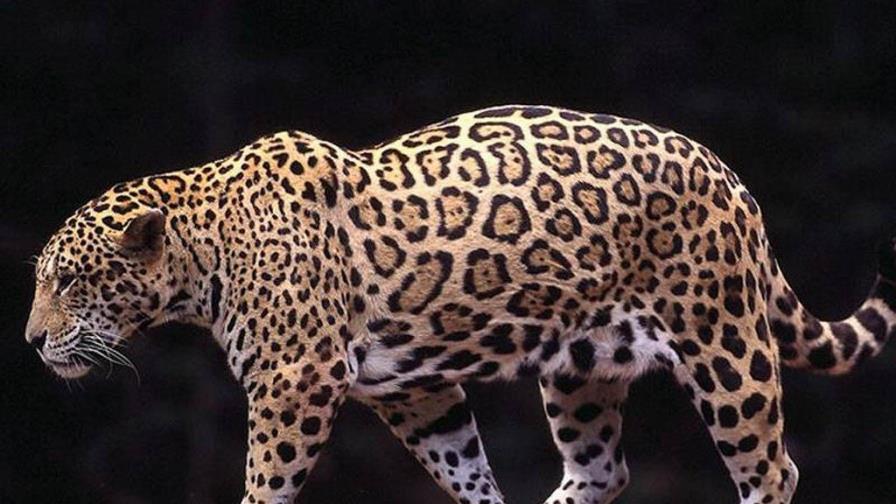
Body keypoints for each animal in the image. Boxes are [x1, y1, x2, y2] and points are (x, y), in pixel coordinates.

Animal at [25, 105, 896, 504]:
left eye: (68, 281)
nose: (31, 341)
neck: (204, 247)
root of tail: (729, 174)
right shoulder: (414, 390)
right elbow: (465, 469)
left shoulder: (294, 381)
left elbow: (267, 479)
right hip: (582, 368)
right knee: (602, 468)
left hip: (723, 342)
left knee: (772, 465)